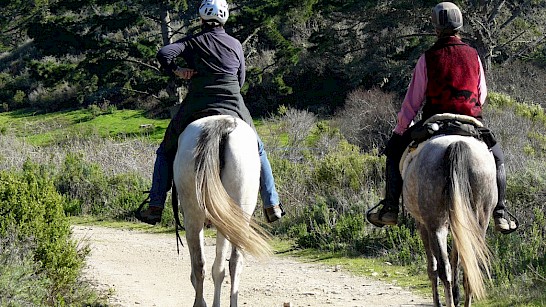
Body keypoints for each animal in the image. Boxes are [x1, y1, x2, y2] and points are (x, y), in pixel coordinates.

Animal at [400, 115, 492, 307]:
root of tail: (457, 143)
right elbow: (457, 258)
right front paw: (457, 295)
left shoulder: (423, 226)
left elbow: (433, 267)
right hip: (478, 221)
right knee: (469, 267)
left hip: (435, 225)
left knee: (443, 269)